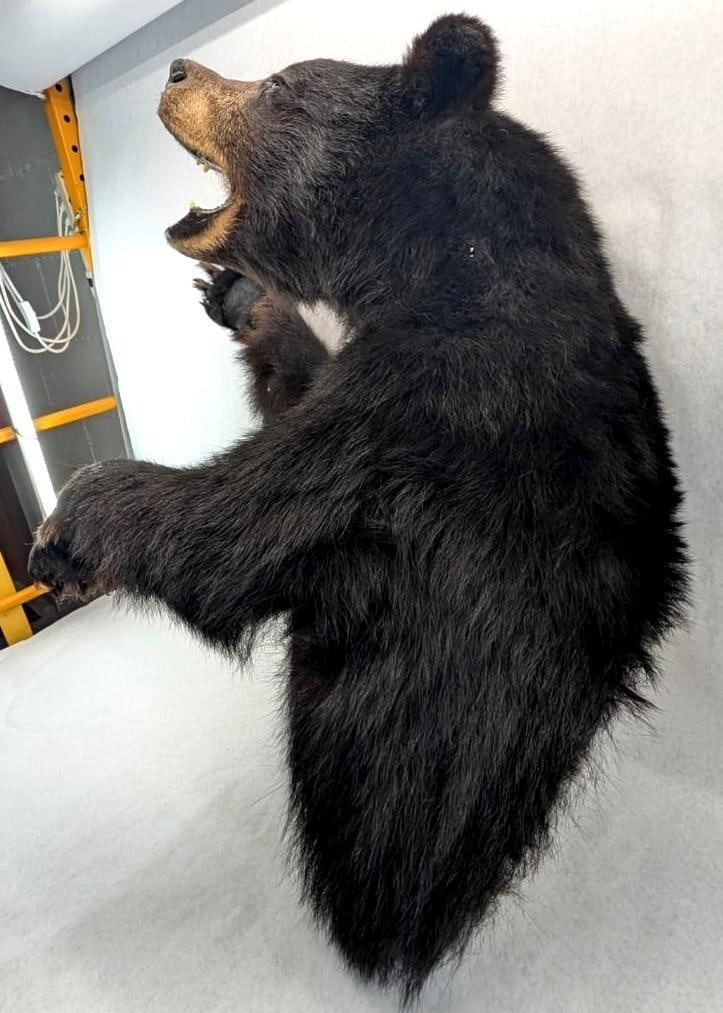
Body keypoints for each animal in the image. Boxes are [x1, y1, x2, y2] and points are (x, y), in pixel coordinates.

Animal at [29, 14, 688, 1001]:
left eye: (278, 85)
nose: (176, 68)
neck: (428, 255)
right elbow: (295, 388)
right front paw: (245, 297)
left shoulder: (426, 412)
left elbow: (236, 523)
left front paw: (71, 518)